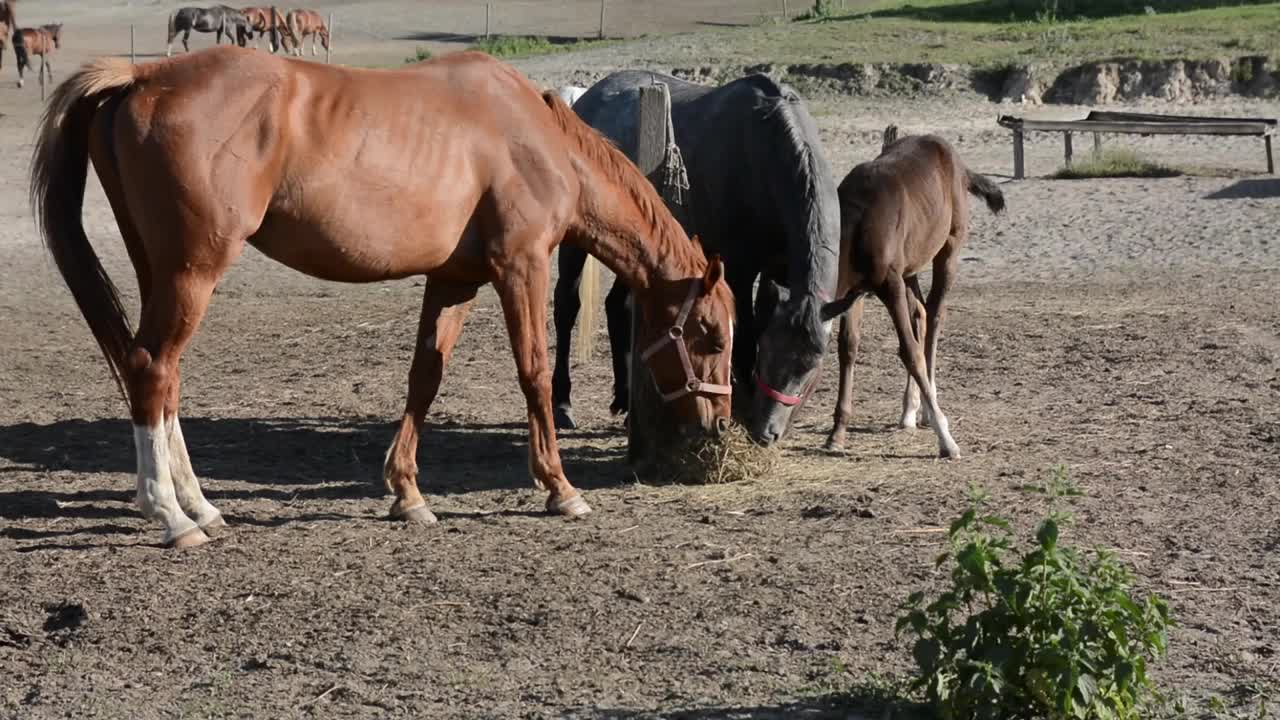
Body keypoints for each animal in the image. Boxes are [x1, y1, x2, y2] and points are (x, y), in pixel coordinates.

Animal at [30, 44, 737, 545]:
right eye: (710, 334)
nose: (718, 424)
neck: (534, 136)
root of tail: (143, 75)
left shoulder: (455, 280)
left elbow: (425, 376)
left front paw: (407, 494)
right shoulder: (522, 266)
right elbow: (534, 373)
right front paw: (560, 488)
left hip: (161, 273)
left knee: (162, 376)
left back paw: (200, 506)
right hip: (191, 274)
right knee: (152, 369)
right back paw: (172, 517)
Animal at [552, 71, 844, 443]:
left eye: (810, 365)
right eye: (768, 354)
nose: (766, 431)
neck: (764, 155)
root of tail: (586, 98)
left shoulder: (779, 272)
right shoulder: (739, 270)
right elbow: (745, 335)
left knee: (617, 305)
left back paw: (624, 399)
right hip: (575, 245)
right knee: (566, 307)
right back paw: (562, 404)